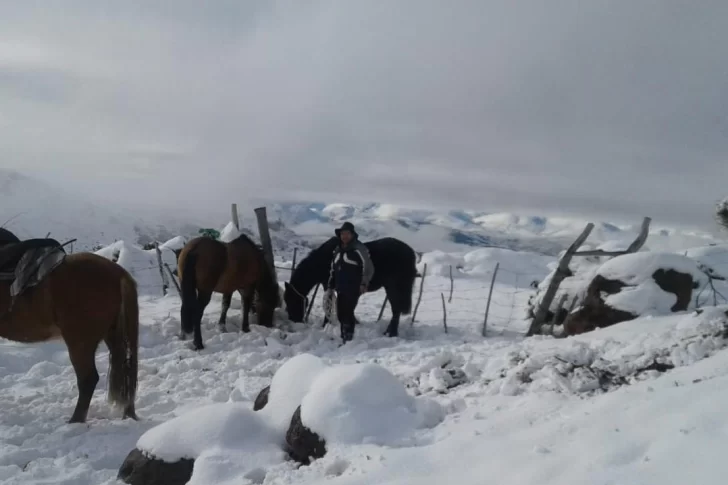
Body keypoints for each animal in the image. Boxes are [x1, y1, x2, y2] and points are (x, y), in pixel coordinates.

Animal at [0, 229, 139, 422]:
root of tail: (118, 273)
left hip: (79, 342)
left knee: (88, 379)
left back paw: (75, 420)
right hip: (112, 335)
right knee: (126, 369)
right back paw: (127, 413)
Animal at [286, 235, 418, 336]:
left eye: (292, 301)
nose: (294, 321)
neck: (322, 261)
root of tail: (411, 253)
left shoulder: (328, 285)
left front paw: (325, 325)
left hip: (394, 287)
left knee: (396, 309)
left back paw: (390, 333)